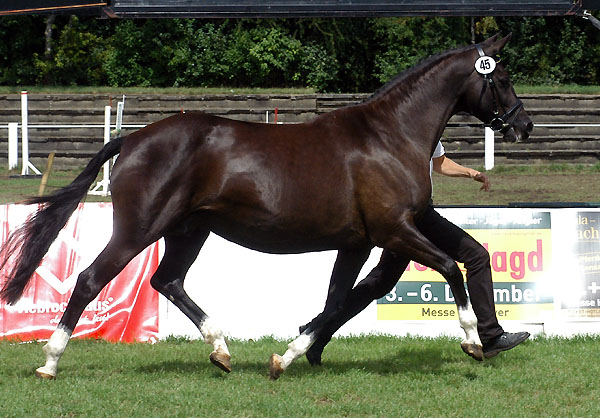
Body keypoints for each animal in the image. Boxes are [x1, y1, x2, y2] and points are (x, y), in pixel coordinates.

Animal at [2, 33, 532, 378]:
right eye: (503, 77)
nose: (523, 126)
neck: (388, 136)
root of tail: (130, 139)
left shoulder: (357, 243)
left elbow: (335, 300)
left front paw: (288, 356)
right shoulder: (394, 231)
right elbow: (450, 269)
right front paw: (473, 340)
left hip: (188, 230)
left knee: (167, 280)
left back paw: (221, 351)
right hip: (138, 229)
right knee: (90, 280)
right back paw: (50, 362)